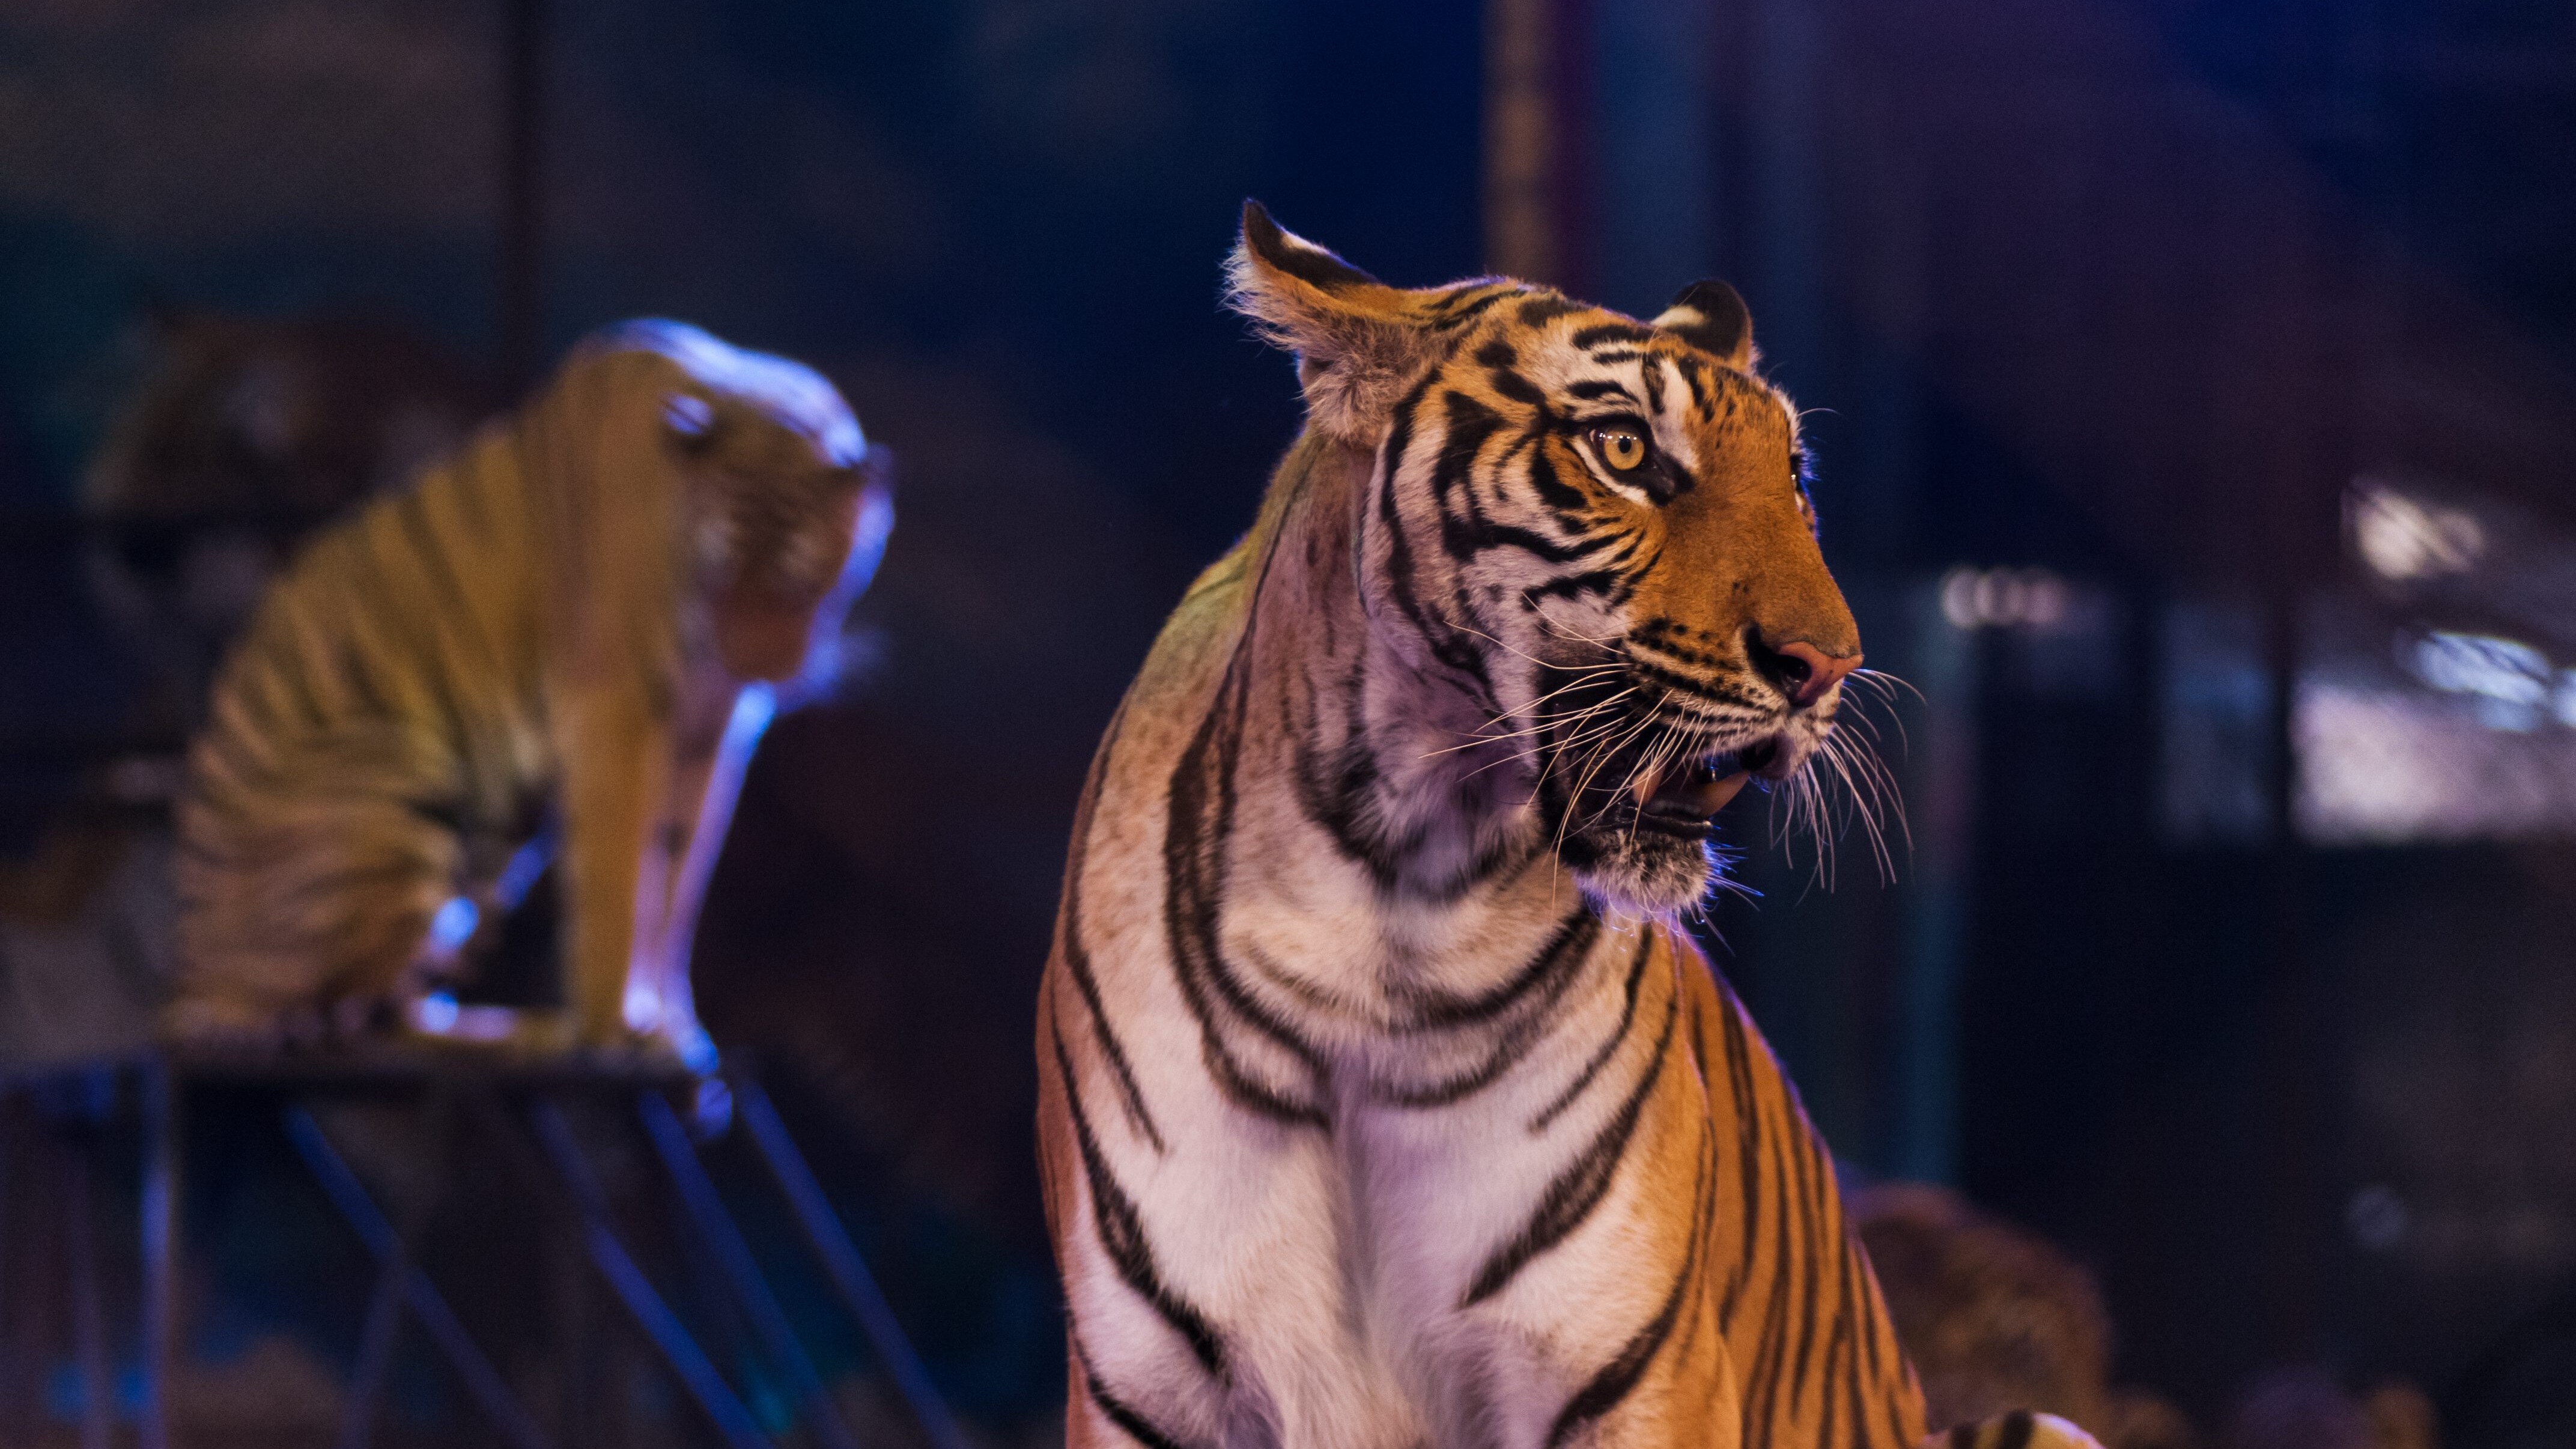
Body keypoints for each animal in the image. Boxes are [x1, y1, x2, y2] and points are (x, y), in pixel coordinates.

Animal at [169, 319, 892, 1062]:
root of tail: (192, 984)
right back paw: (541, 1034)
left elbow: (680, 877)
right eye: (716, 575)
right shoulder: (616, 703)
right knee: (354, 1021)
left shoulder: (712, 726)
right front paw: (615, 1030)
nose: (756, 667)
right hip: (393, 778)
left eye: (799, 579)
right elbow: (619, 876)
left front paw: (673, 1028)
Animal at [1035, 203, 2104, 1449]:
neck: (1390, 900)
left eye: (1792, 477)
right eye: (1625, 451)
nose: (1828, 665)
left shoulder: (1632, 1374)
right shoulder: (1142, 1390)